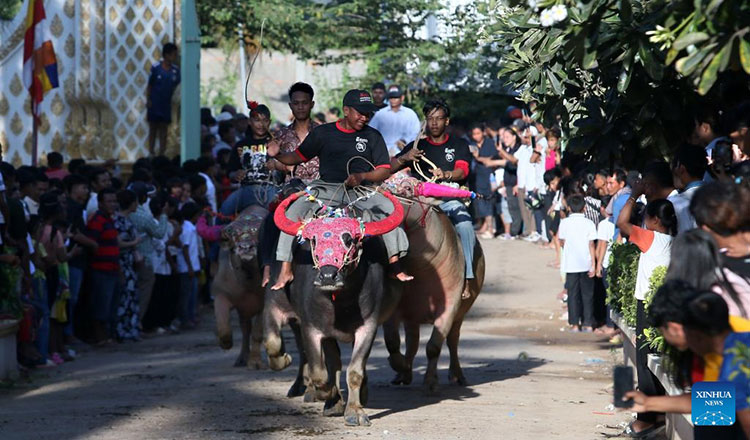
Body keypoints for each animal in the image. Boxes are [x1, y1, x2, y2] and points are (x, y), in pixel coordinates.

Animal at [270, 190, 406, 426]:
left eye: (349, 239)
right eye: (314, 240)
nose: (327, 276)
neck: (340, 303)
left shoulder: (368, 327)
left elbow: (355, 371)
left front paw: (355, 411)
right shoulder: (310, 328)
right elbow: (320, 373)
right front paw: (330, 396)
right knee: (332, 362)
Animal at [384, 198, 484, 390]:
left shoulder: (450, 306)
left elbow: (433, 347)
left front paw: (430, 381)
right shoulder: (395, 309)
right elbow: (392, 342)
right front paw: (400, 366)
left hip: (461, 313)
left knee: (453, 341)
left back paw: (457, 375)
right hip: (412, 317)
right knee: (413, 342)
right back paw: (403, 374)